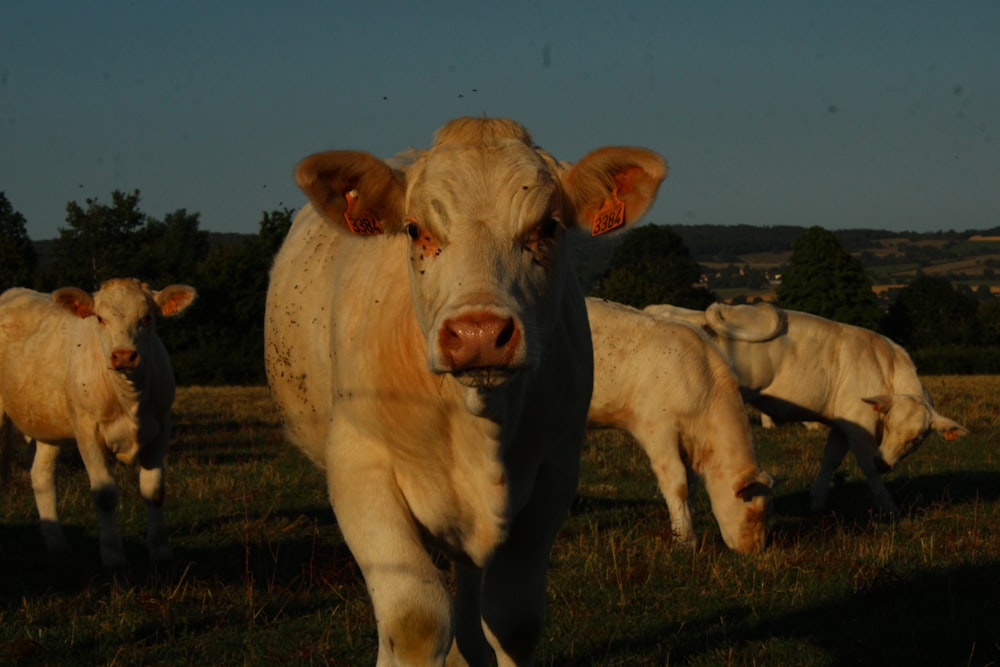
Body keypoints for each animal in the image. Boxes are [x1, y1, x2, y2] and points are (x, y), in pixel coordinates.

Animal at [0, 280, 197, 568]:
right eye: (100, 319)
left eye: (147, 317)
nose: (124, 356)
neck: (129, 400)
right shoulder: (88, 431)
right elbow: (105, 495)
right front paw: (113, 554)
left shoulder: (161, 427)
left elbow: (154, 491)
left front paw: (161, 551)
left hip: (49, 424)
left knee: (41, 476)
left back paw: (57, 543)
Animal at [584, 300, 772, 556]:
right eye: (753, 512)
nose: (755, 549)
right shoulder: (659, 431)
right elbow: (677, 483)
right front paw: (684, 540)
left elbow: (690, 486)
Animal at [640, 300, 968, 516]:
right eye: (886, 424)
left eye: (918, 438)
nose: (885, 463)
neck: (885, 366)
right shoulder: (859, 423)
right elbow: (865, 467)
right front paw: (889, 508)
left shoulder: (842, 424)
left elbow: (830, 461)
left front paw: (818, 501)